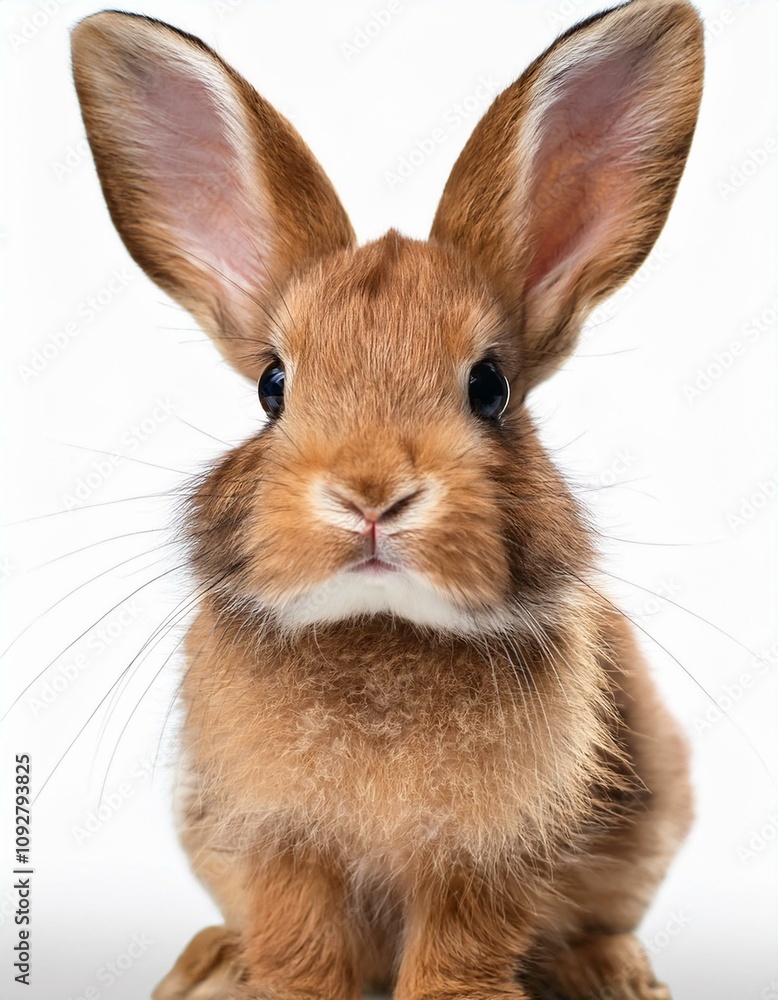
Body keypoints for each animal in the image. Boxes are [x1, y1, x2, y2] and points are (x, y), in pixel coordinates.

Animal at [70, 1, 704, 997]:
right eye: (273, 386)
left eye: (490, 387)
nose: (370, 494)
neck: (379, 626)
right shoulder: (280, 843)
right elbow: (298, 940)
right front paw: (275, 985)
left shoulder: (484, 857)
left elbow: (458, 945)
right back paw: (208, 962)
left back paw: (617, 972)